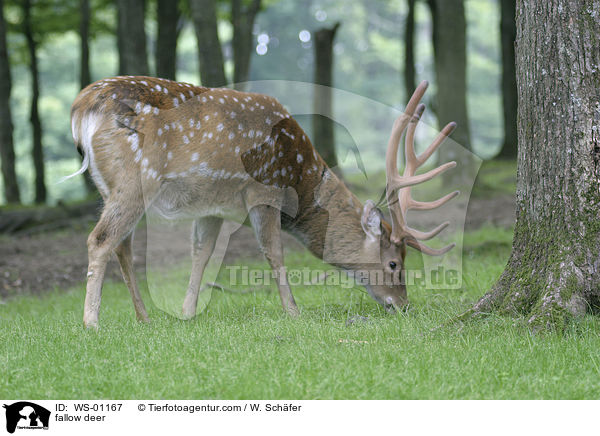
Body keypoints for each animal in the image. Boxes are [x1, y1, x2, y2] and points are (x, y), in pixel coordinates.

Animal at [65, 76, 458, 328]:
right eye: (394, 263)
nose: (403, 306)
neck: (300, 178)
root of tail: (81, 108)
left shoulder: (212, 206)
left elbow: (201, 254)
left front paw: (188, 313)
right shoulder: (264, 190)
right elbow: (274, 252)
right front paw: (294, 312)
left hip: (108, 187)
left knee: (122, 244)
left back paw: (144, 318)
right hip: (135, 178)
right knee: (100, 239)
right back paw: (91, 323)